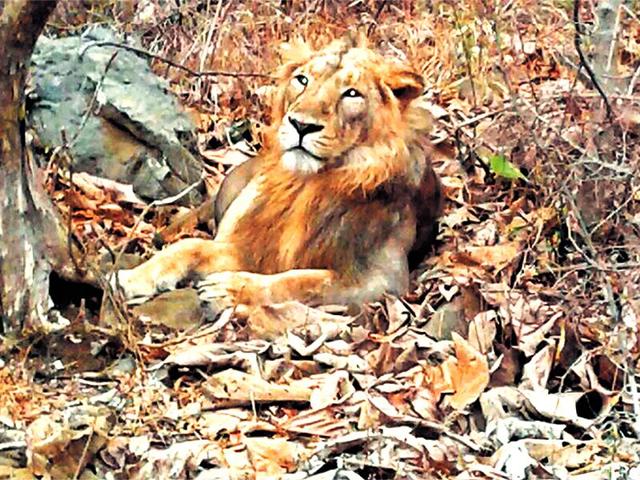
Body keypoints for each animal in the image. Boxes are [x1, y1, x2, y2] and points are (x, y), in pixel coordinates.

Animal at [112, 37, 442, 312]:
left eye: (352, 94)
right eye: (302, 80)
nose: (301, 125)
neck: (308, 184)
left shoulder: (383, 282)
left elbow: (301, 281)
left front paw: (227, 289)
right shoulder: (244, 247)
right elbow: (188, 247)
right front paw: (130, 278)